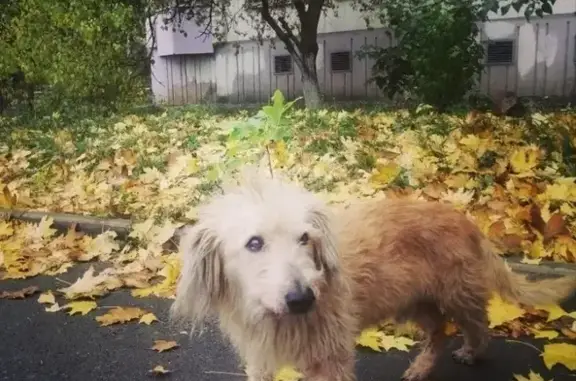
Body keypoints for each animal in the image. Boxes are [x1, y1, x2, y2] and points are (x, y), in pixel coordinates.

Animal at [171, 174, 576, 380]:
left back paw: (469, 354)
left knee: (478, 326)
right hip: (413, 302)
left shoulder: (329, 363)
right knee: (439, 331)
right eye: (254, 243)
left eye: (305, 238)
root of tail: (466, 220)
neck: (278, 319)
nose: (303, 299)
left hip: (457, 295)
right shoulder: (261, 361)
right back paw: (423, 367)